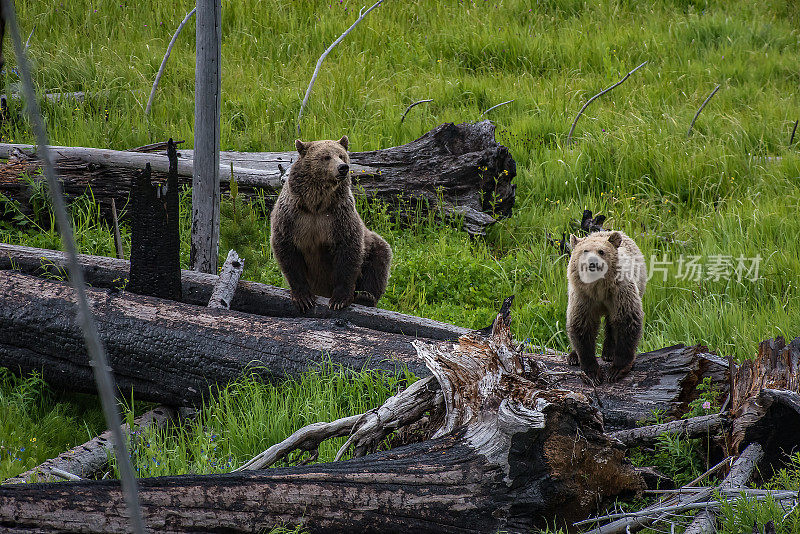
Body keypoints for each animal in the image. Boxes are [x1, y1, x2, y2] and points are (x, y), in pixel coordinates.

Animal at [270, 136, 392, 314]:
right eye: (326, 157)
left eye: (341, 155)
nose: (343, 168)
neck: (316, 205)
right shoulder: (291, 217)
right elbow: (287, 251)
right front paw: (303, 298)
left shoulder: (339, 218)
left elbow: (348, 251)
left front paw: (339, 300)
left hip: (372, 246)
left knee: (378, 263)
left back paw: (366, 297)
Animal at [564, 232, 648, 384]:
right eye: (585, 251)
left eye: (601, 251)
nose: (592, 262)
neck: (598, 288)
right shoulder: (582, 297)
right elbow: (581, 325)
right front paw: (592, 373)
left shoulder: (620, 292)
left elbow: (627, 321)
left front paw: (616, 370)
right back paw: (573, 356)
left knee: (612, 322)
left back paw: (608, 352)